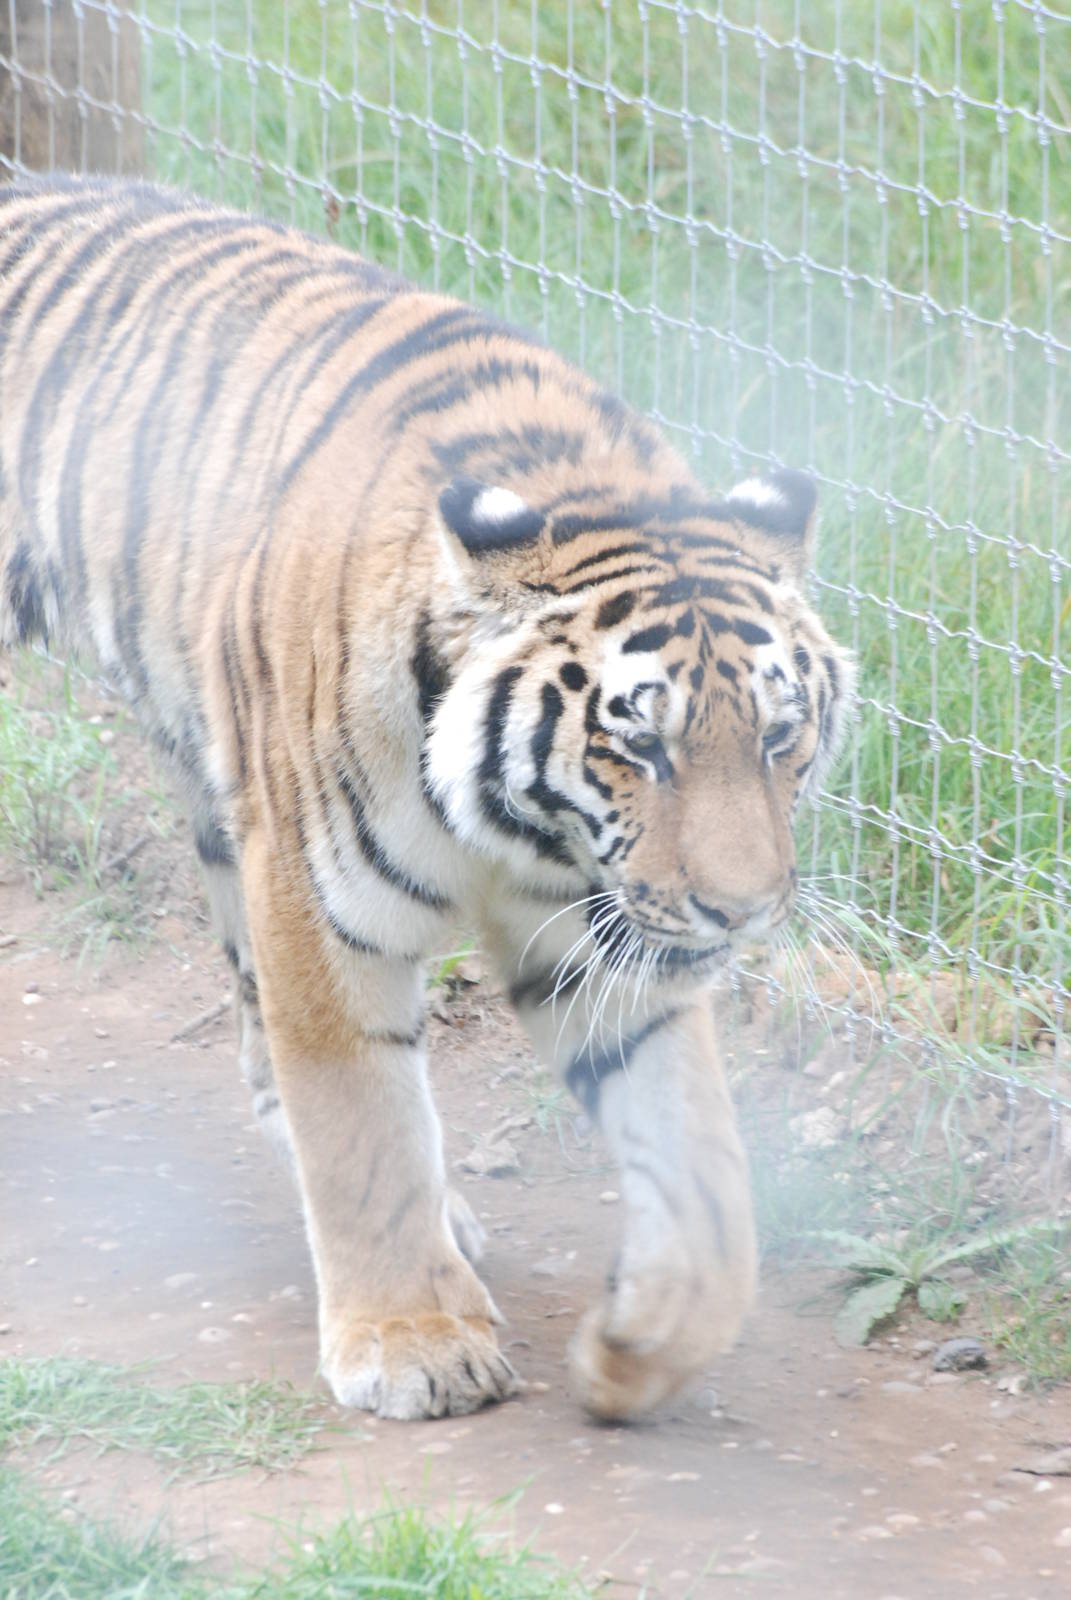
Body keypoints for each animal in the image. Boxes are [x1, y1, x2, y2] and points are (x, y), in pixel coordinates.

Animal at [0, 175, 853, 1422]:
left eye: (780, 736)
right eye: (638, 744)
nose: (741, 913)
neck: (518, 828)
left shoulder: (598, 931)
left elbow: (701, 1161)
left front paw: (643, 1343)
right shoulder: (318, 901)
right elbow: (361, 1114)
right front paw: (413, 1340)